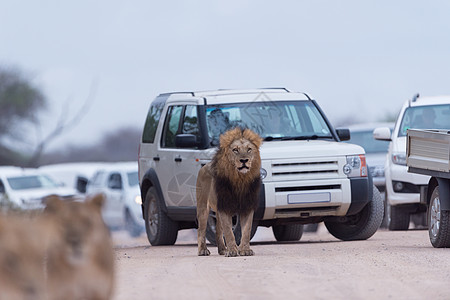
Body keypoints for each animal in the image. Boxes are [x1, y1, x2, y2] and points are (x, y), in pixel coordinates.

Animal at [197, 126, 264, 255]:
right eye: (235, 150)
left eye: (249, 149)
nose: (244, 160)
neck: (240, 179)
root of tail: (204, 166)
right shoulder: (225, 207)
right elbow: (229, 231)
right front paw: (233, 251)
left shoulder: (247, 206)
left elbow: (246, 231)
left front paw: (245, 250)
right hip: (203, 208)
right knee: (201, 230)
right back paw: (203, 250)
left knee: (218, 231)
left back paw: (223, 250)